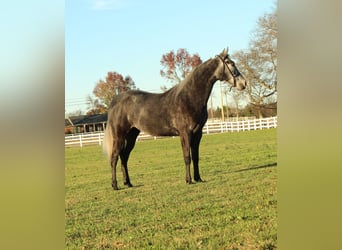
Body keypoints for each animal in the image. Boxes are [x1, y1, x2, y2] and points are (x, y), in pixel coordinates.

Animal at [103, 48, 247, 189]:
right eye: (230, 63)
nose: (243, 83)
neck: (189, 97)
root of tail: (115, 101)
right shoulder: (185, 133)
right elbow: (187, 157)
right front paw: (188, 180)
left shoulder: (198, 133)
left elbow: (196, 157)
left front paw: (198, 178)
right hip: (119, 136)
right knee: (114, 157)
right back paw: (115, 185)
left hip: (132, 135)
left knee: (124, 157)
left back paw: (128, 183)